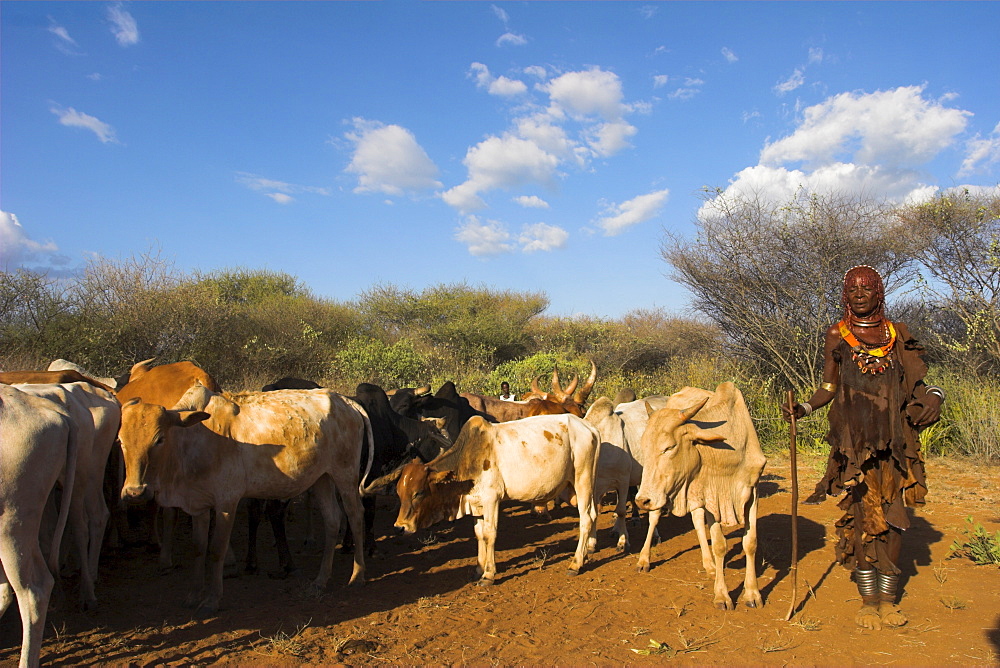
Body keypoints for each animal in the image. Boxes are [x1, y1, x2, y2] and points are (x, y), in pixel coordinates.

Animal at [118, 384, 376, 612]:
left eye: (159, 439)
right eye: (120, 441)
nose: (135, 492)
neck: (192, 441)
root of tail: (346, 401)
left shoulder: (227, 502)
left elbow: (217, 549)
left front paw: (211, 600)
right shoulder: (199, 505)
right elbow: (199, 548)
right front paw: (193, 596)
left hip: (344, 474)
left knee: (355, 515)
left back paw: (357, 576)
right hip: (322, 478)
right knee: (332, 520)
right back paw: (320, 581)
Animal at [392, 412, 596, 584]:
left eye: (418, 492)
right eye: (399, 493)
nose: (400, 527)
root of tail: (588, 427)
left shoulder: (492, 499)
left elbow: (490, 534)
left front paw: (488, 574)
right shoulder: (477, 505)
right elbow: (480, 535)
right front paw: (478, 569)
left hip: (582, 480)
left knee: (585, 519)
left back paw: (576, 563)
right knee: (593, 514)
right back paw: (588, 552)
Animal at [636, 380, 768, 612]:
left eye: (669, 447)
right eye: (645, 447)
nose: (641, 500)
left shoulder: (753, 491)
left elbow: (750, 542)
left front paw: (752, 593)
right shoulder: (711, 497)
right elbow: (720, 545)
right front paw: (722, 596)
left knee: (697, 521)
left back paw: (709, 564)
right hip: (663, 493)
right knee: (654, 517)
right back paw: (644, 559)